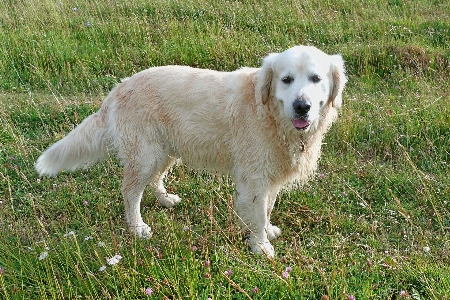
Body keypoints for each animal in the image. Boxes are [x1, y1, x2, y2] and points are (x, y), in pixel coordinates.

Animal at [37, 46, 348, 258]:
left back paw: (165, 200)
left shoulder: (269, 176)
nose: (302, 106)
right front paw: (261, 246)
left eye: (315, 78)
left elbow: (267, 208)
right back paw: (137, 227)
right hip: (145, 156)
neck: (271, 114)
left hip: (166, 151)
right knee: (130, 193)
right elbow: (259, 213)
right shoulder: (255, 177)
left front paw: (267, 231)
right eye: (286, 79)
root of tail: (119, 87)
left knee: (155, 180)